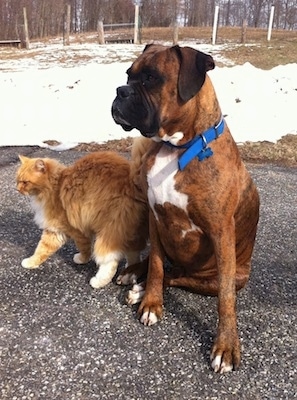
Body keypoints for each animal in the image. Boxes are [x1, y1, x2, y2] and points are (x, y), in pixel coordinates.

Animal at [15, 138, 150, 288]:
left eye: (25, 182)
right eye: (17, 180)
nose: (17, 189)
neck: (55, 186)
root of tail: (133, 180)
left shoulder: (75, 230)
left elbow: (84, 249)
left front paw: (81, 259)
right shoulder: (54, 232)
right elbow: (41, 250)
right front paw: (31, 262)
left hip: (110, 229)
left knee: (110, 261)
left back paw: (99, 281)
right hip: (132, 230)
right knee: (134, 253)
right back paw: (129, 273)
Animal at [110, 45, 258, 374]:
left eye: (151, 79)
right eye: (127, 75)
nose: (119, 91)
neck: (176, 147)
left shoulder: (221, 233)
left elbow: (225, 299)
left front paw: (226, 347)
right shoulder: (155, 217)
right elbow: (155, 264)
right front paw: (152, 302)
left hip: (229, 275)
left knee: (180, 278)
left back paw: (139, 287)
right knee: (165, 268)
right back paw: (135, 276)